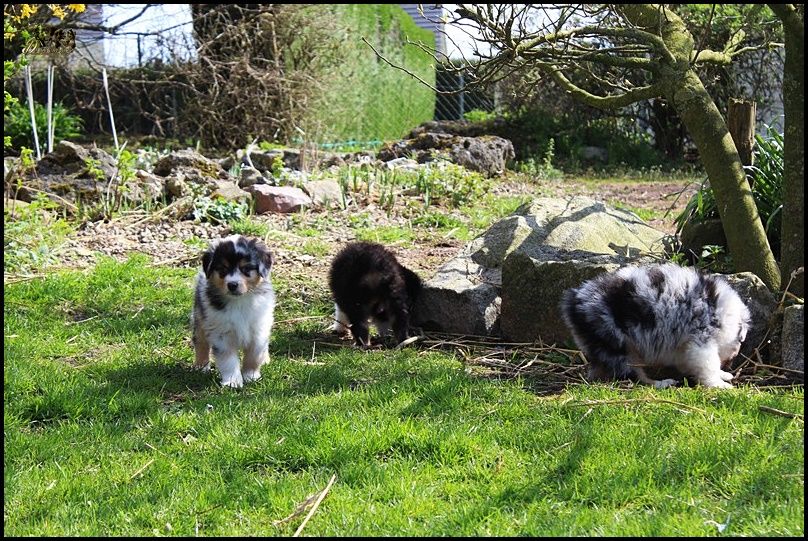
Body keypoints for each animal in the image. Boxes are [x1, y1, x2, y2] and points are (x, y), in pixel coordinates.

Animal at [191, 235, 276, 388]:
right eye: (222, 269)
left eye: (246, 268)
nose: (232, 285)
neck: (239, 301)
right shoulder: (221, 333)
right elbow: (228, 359)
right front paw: (232, 381)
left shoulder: (258, 329)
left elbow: (254, 354)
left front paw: (251, 376)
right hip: (200, 318)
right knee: (200, 342)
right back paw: (201, 366)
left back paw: (265, 359)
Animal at [560, 263, 751, 389]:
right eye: (740, 341)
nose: (734, 356)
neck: (722, 311)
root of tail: (575, 301)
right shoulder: (702, 339)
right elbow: (709, 363)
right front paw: (719, 384)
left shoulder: (683, 345)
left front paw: (723, 375)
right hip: (617, 343)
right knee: (635, 376)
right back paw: (661, 383)